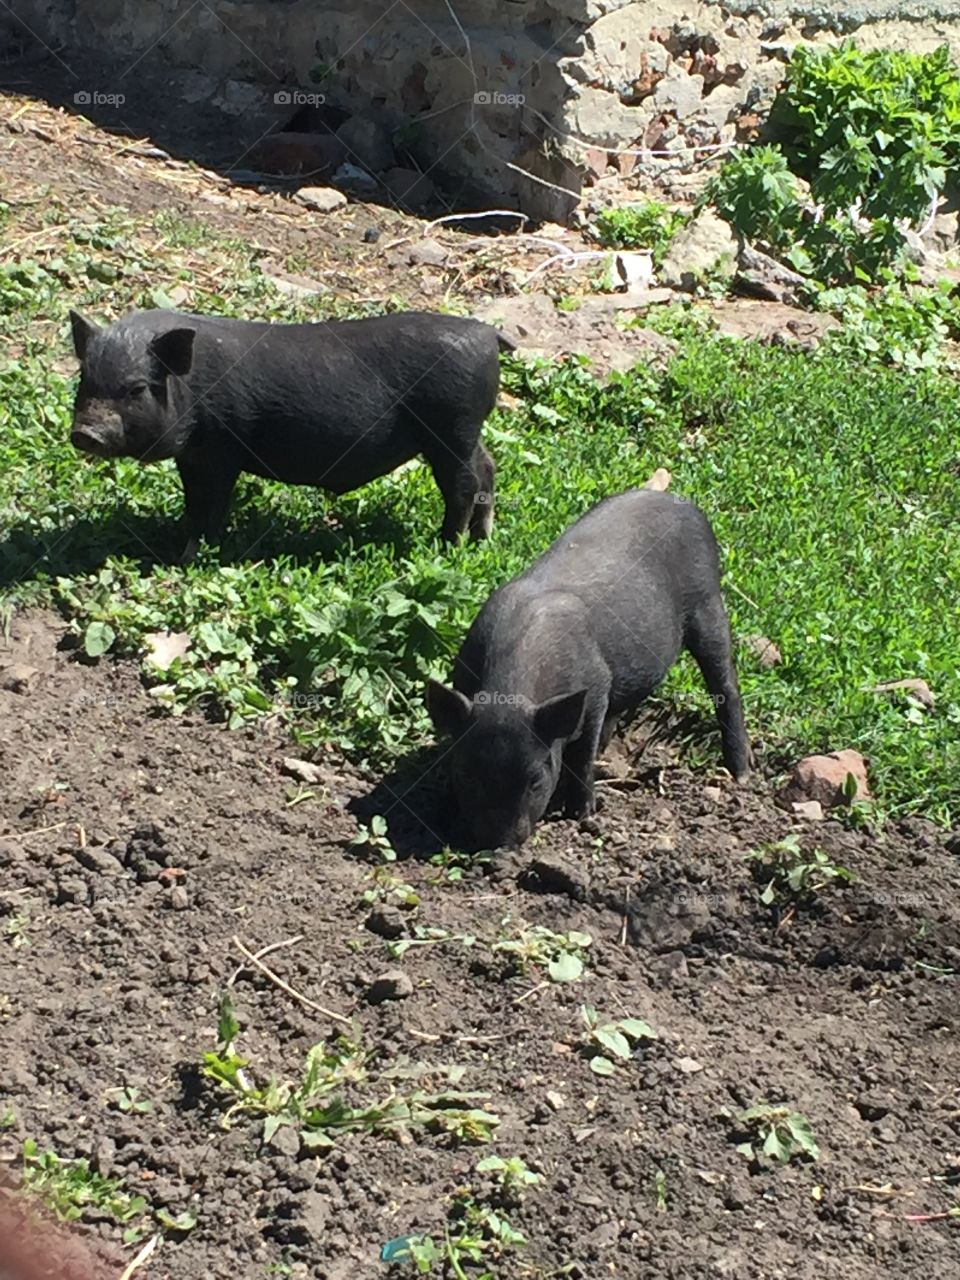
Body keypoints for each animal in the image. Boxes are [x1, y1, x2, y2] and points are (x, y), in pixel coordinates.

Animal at [68, 308, 512, 563]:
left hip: (450, 429)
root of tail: (488, 334)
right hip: (465, 431)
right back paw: (480, 540)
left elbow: (211, 505)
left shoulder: (221, 452)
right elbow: (193, 502)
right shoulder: (193, 456)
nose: (85, 433)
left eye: (137, 389)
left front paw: (190, 557)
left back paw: (447, 546)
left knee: (464, 484)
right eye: (85, 378)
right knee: (488, 467)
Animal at [427, 488, 753, 850]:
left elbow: (581, 757)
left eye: (535, 780)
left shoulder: (595, 688)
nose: (500, 844)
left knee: (726, 684)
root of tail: (683, 503)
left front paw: (581, 815)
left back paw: (741, 773)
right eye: (467, 774)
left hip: (708, 603)